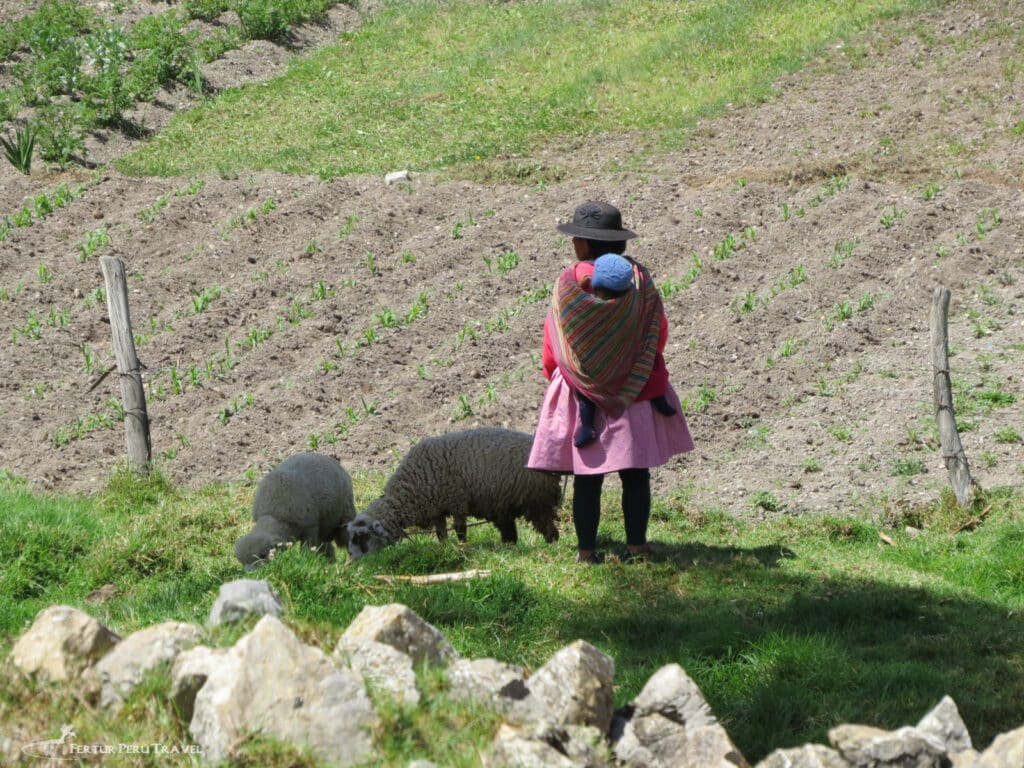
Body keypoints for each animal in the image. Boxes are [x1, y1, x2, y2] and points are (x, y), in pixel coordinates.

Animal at [346, 428, 562, 560]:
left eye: (362, 537)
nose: (352, 560)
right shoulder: (436, 509)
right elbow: (441, 533)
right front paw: (444, 548)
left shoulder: (457, 502)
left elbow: (459, 529)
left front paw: (462, 547)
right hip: (507, 506)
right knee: (511, 533)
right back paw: (508, 549)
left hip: (537, 502)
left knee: (550, 529)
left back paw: (550, 549)